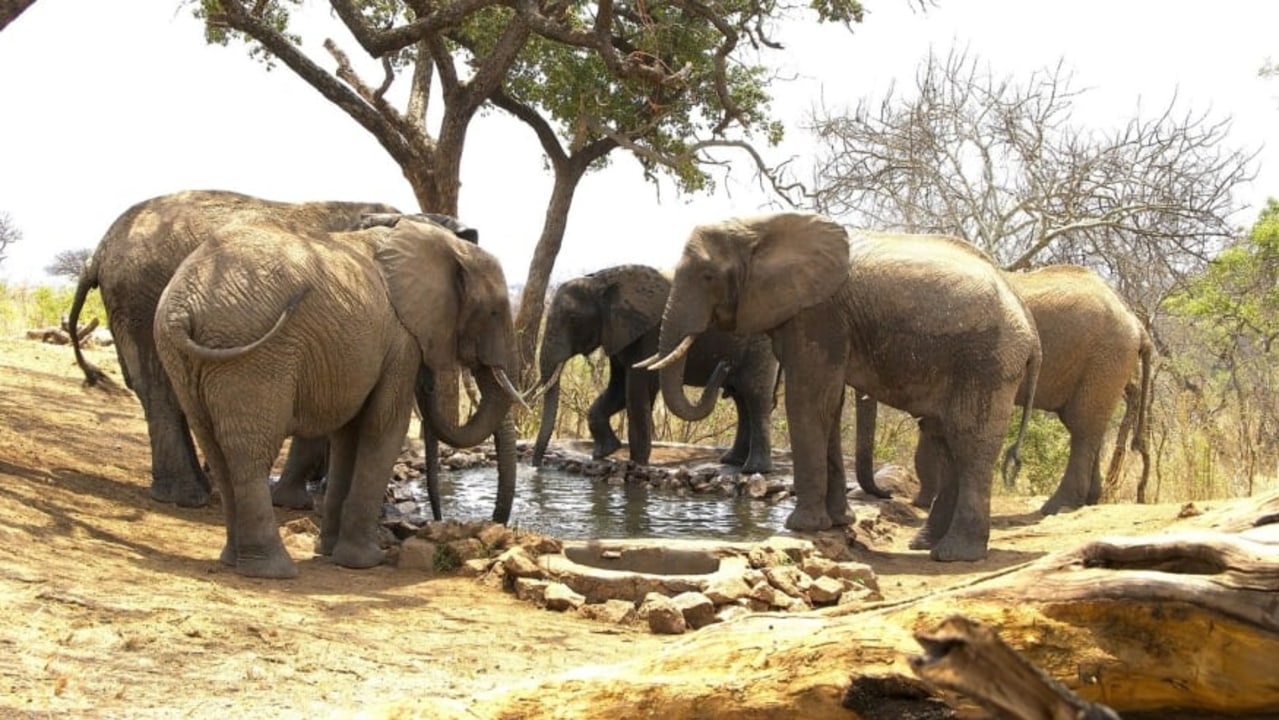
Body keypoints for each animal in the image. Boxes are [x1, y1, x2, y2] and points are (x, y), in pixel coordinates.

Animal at [153, 216, 521, 578]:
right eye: (495, 312)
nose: (494, 525)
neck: (448, 244)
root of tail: (181, 309)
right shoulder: (400, 340)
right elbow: (384, 427)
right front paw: (366, 562)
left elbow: (349, 435)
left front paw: (330, 553)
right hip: (252, 355)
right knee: (251, 454)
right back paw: (273, 570)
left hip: (183, 357)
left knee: (215, 448)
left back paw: (234, 561)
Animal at [529, 264, 778, 472]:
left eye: (572, 318)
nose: (537, 465)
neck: (601, 280)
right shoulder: (620, 332)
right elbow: (617, 390)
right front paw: (604, 453)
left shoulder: (649, 333)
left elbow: (636, 388)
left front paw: (636, 464)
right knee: (742, 400)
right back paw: (731, 461)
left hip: (759, 346)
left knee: (754, 396)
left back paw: (753, 470)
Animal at [648, 214, 1041, 562]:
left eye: (708, 276)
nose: (724, 366)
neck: (760, 224)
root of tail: (1030, 328)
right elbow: (829, 405)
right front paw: (837, 523)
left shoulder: (818, 314)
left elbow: (807, 400)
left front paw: (801, 527)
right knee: (946, 442)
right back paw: (926, 545)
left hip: (988, 362)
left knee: (969, 443)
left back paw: (954, 555)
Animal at [855, 263, 1154, 516]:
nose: (887, 494)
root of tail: (1137, 324)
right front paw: (924, 503)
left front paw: (922, 505)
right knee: (1090, 426)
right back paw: (1087, 501)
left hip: (1105, 358)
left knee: (1082, 426)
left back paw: (1056, 508)